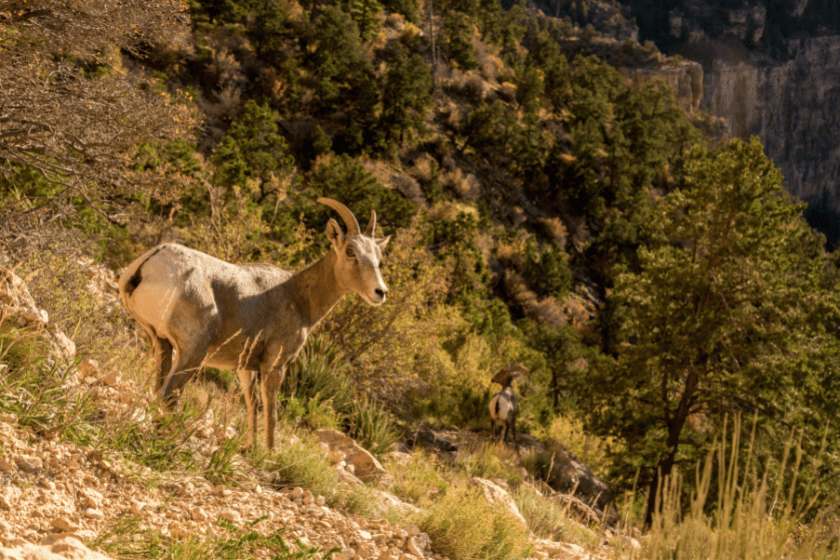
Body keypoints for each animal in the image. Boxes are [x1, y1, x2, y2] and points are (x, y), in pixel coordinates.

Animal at [118, 199, 390, 448]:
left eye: (378, 257)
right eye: (350, 251)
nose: (380, 292)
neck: (298, 296)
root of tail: (149, 263)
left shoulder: (245, 367)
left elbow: (253, 403)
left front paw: (251, 449)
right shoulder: (275, 365)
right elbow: (271, 410)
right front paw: (268, 455)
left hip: (161, 343)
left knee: (159, 389)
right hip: (191, 353)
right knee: (169, 395)